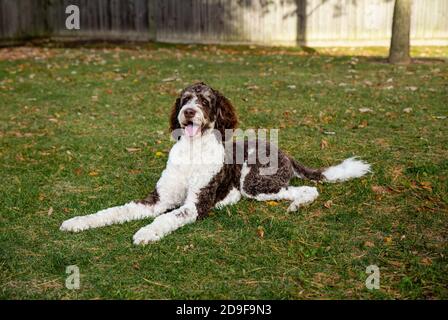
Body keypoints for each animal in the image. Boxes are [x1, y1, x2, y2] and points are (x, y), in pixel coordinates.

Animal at [60, 81, 372, 244]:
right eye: (185, 99)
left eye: (205, 102)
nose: (188, 112)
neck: (191, 153)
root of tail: (283, 151)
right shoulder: (158, 199)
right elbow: (114, 210)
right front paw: (79, 221)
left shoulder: (195, 204)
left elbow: (167, 218)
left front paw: (147, 232)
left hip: (253, 183)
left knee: (305, 189)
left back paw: (296, 204)